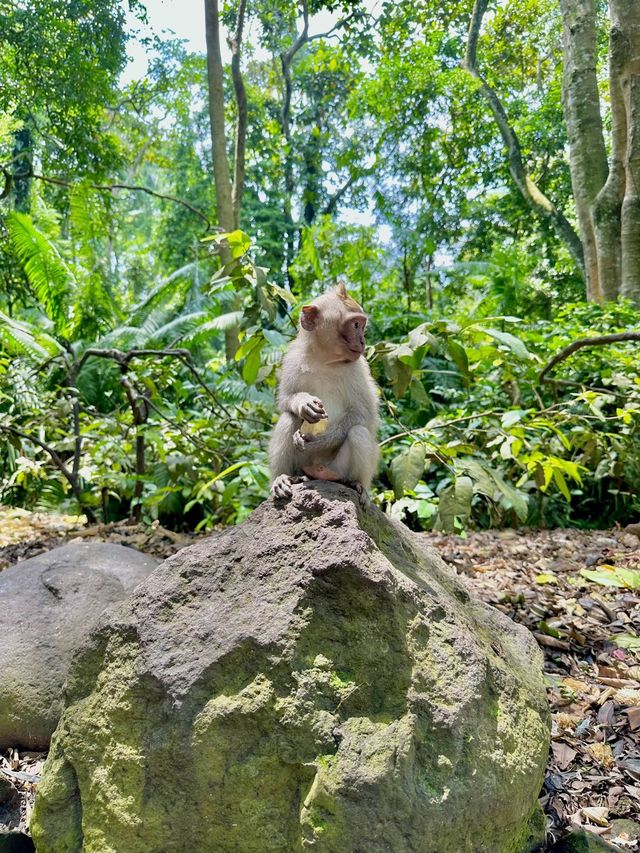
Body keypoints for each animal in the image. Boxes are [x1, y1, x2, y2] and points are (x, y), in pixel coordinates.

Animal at [268, 282, 378, 502]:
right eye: (355, 325)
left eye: (361, 325)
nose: (363, 341)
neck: (324, 359)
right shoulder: (292, 358)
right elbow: (285, 400)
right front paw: (303, 403)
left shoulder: (358, 368)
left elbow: (363, 414)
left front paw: (318, 441)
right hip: (302, 463)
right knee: (288, 418)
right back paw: (284, 478)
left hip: (337, 468)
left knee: (358, 432)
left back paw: (356, 484)